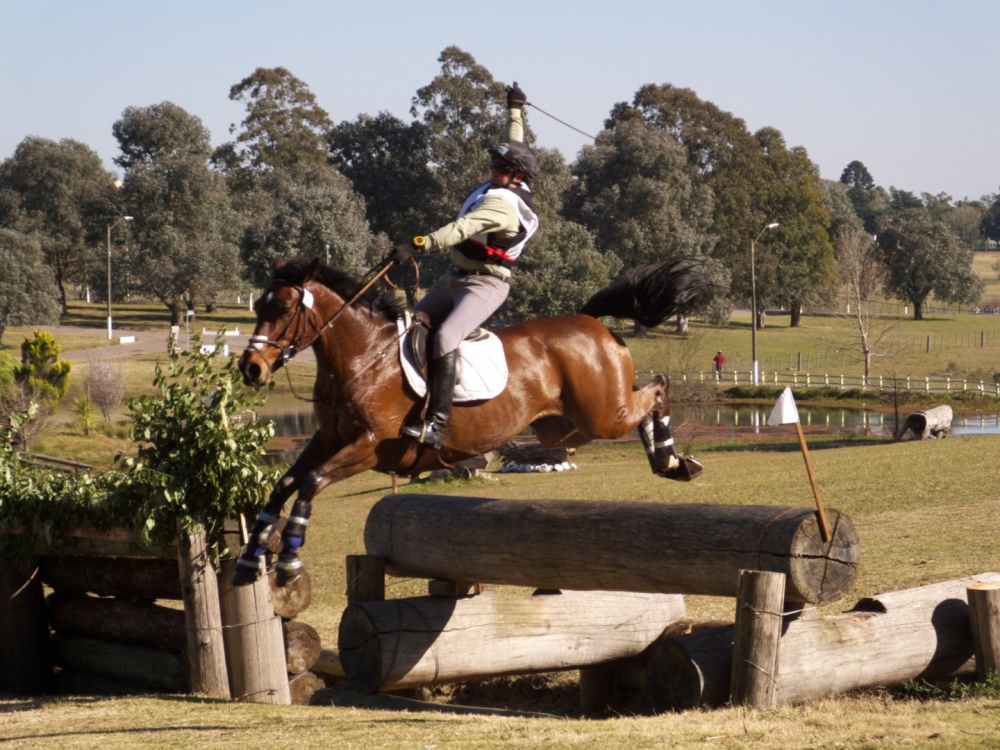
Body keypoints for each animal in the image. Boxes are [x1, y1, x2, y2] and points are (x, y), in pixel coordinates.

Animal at [234, 258, 716, 588]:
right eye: (259, 305)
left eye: (283, 308)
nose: (251, 369)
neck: (365, 354)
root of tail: (590, 321)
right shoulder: (328, 438)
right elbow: (285, 483)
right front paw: (250, 557)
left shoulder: (370, 445)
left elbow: (311, 482)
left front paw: (288, 563)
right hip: (568, 425)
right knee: (643, 401)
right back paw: (670, 461)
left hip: (603, 415)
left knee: (658, 388)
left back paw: (674, 463)